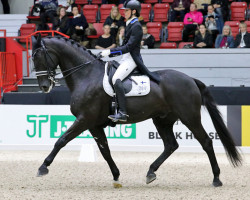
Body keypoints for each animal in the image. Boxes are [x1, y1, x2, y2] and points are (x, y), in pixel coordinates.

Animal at [31, 35, 242, 188]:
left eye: (39, 56)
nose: (44, 86)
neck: (86, 75)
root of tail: (190, 79)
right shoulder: (94, 125)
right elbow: (105, 150)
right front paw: (116, 176)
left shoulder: (84, 119)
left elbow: (61, 140)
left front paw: (43, 167)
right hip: (162, 119)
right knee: (171, 145)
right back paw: (150, 173)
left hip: (189, 117)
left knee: (206, 142)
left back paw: (216, 179)